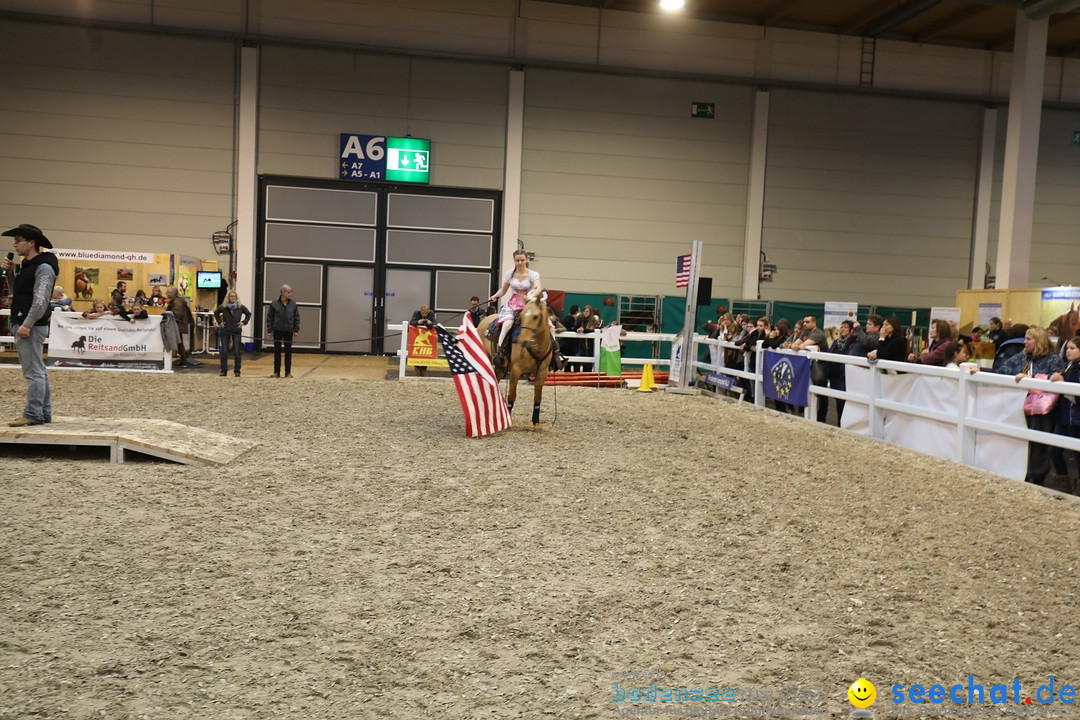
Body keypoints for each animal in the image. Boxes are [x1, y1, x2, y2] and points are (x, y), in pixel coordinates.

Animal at [477, 297, 552, 425]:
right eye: (522, 316)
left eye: (536, 316)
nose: (523, 340)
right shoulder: (516, 371)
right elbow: (512, 395)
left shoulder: (542, 373)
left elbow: (537, 397)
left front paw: (536, 422)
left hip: (500, 368)